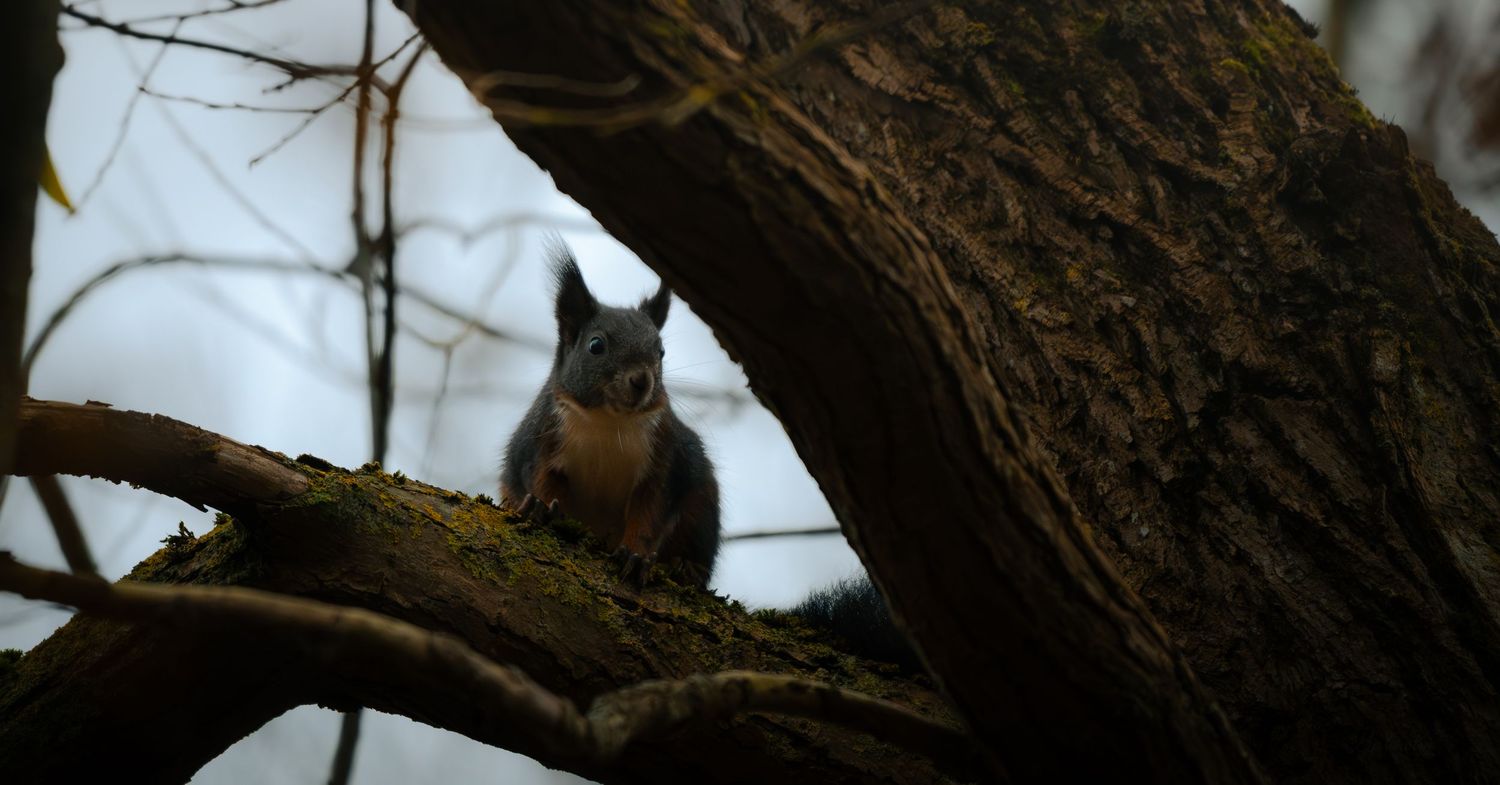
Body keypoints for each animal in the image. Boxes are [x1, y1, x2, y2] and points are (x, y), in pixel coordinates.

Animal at [500, 242, 721, 587]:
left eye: (661, 352)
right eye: (595, 345)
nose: (642, 380)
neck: (607, 421)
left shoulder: (664, 460)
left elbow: (649, 515)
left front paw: (635, 555)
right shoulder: (540, 442)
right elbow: (542, 481)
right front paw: (539, 508)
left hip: (702, 501)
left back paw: (687, 568)